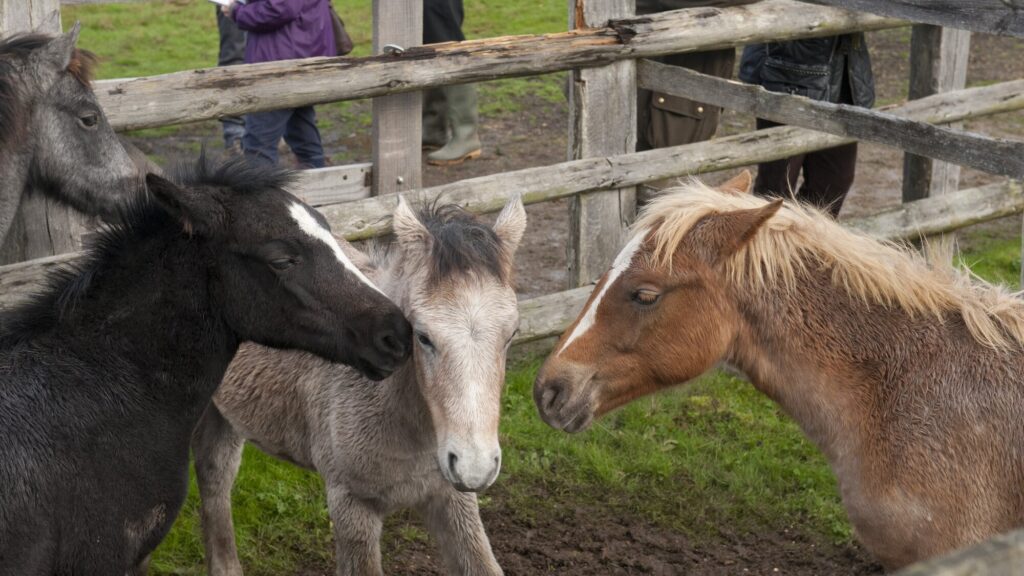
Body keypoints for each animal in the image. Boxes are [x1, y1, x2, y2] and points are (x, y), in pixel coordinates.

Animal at [192, 196, 526, 576]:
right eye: (423, 336)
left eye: (511, 333)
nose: (475, 467)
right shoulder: (351, 503)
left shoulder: (452, 496)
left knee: (215, 474)